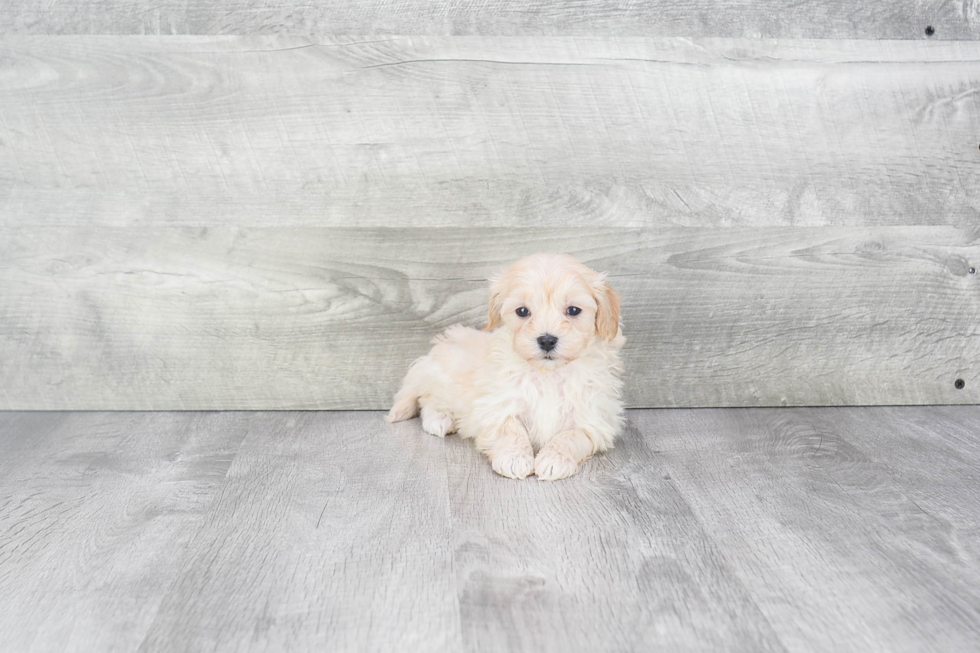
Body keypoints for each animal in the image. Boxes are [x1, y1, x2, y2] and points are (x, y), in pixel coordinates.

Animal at [386, 253, 624, 478]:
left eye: (573, 310)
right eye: (522, 311)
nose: (547, 340)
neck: (548, 374)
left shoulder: (593, 417)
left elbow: (571, 436)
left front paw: (554, 460)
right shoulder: (497, 405)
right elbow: (511, 430)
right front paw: (515, 459)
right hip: (440, 377)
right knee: (426, 397)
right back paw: (439, 419)